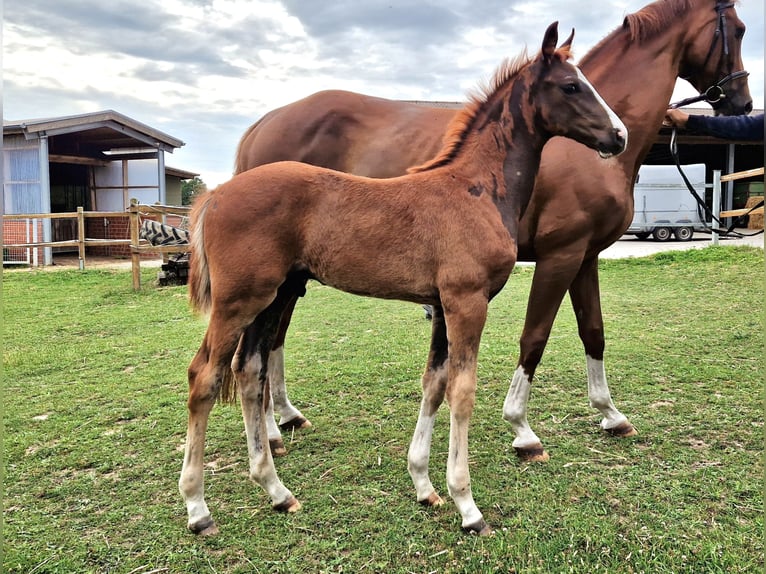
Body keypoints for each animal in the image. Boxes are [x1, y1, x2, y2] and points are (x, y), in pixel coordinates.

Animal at [180, 22, 627, 537]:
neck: (475, 189)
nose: (619, 135)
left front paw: (424, 485)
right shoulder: (467, 302)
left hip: (272, 296)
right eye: (571, 86)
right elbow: (462, 391)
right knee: (204, 376)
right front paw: (467, 505)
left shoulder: (443, 306)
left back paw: (276, 491)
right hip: (238, 300)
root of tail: (216, 195)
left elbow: (433, 383)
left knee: (249, 372)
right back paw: (198, 508)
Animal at [234, 0, 752, 460]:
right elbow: (534, 337)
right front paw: (521, 429)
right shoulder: (560, 255)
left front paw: (610, 414)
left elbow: (593, 331)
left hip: (292, 277)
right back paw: (271, 433)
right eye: (740, 28)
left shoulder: (586, 256)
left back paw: (284, 419)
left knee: (269, 340)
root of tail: (264, 123)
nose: (744, 102)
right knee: (256, 345)